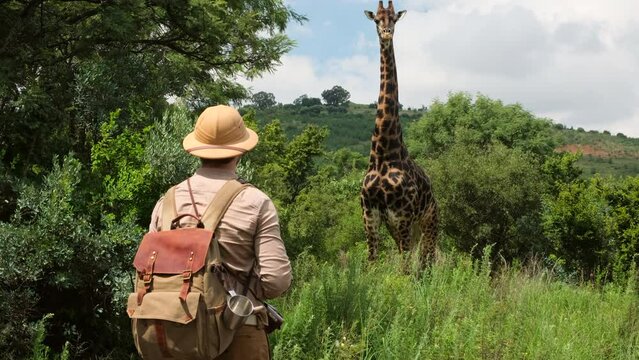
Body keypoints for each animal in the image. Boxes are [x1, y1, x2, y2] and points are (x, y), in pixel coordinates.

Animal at [362, 0, 438, 268]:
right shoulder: (370, 215)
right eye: (377, 20)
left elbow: (404, 270)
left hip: (429, 223)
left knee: (427, 263)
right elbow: (371, 264)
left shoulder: (402, 215)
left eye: (394, 19)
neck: (383, 154)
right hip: (405, 229)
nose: (386, 34)